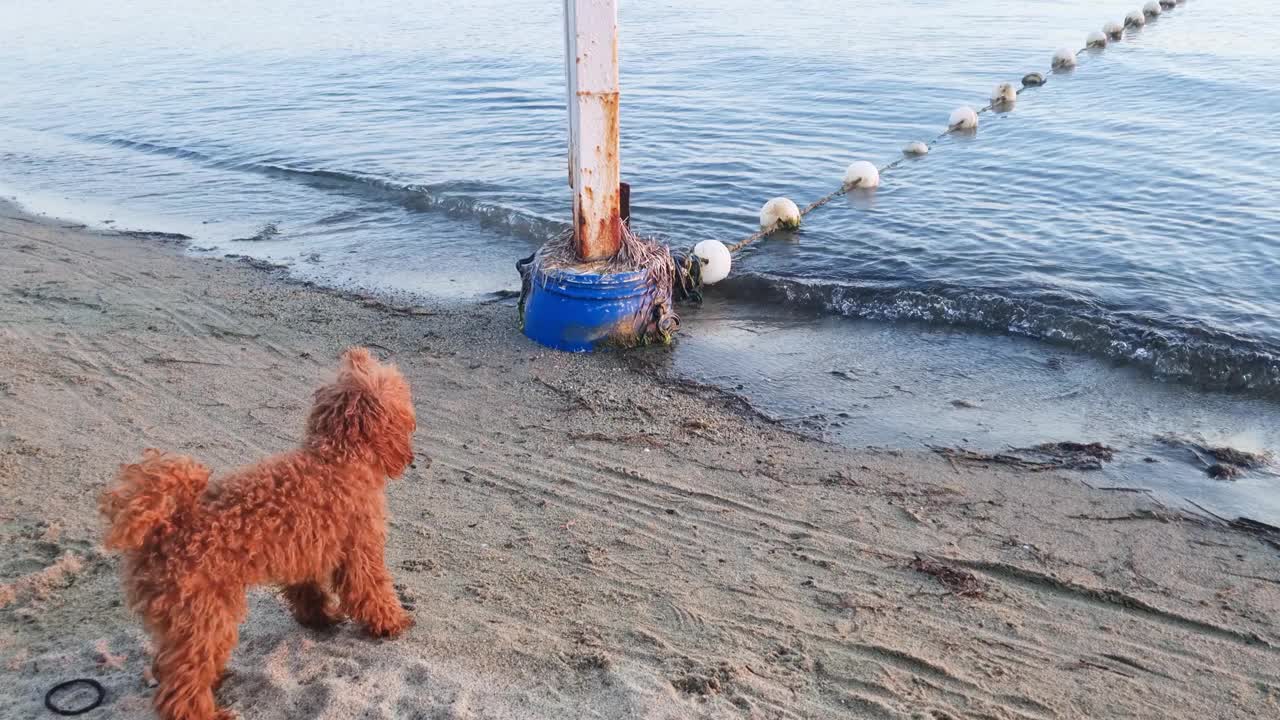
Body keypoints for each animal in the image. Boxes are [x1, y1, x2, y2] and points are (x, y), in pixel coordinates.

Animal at [102, 345, 419, 712]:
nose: (412, 457)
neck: (338, 457)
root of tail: (162, 527)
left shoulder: (305, 550)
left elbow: (307, 591)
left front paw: (318, 617)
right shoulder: (360, 549)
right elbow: (373, 591)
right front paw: (392, 623)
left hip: (182, 624)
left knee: (168, 667)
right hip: (204, 618)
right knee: (181, 688)